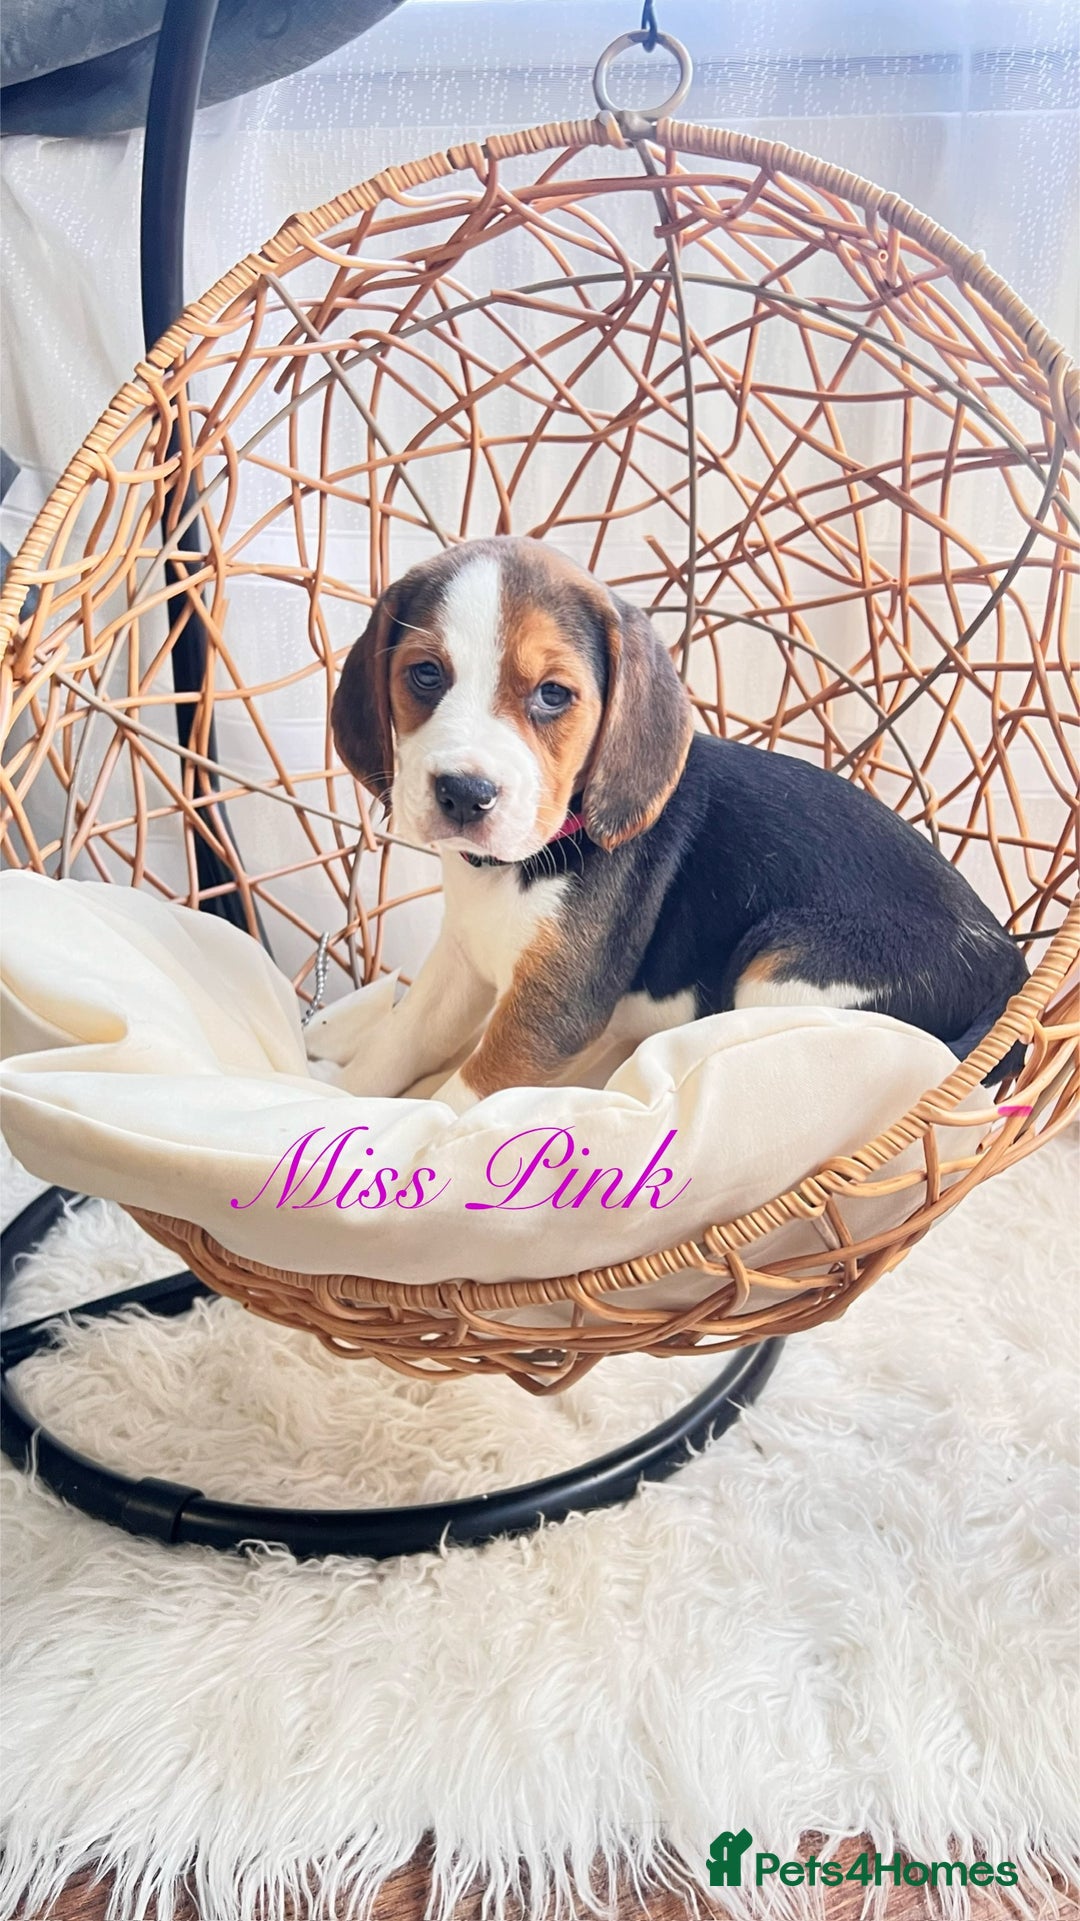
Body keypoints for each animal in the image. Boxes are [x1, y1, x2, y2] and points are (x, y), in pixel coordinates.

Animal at [329, 536, 1027, 1112]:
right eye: (425, 674)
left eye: (553, 695)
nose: (464, 794)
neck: (523, 863)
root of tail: (1009, 972)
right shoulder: (460, 960)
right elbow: (398, 1041)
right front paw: (333, 1096)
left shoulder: (550, 1014)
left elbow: (455, 1104)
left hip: (784, 972)